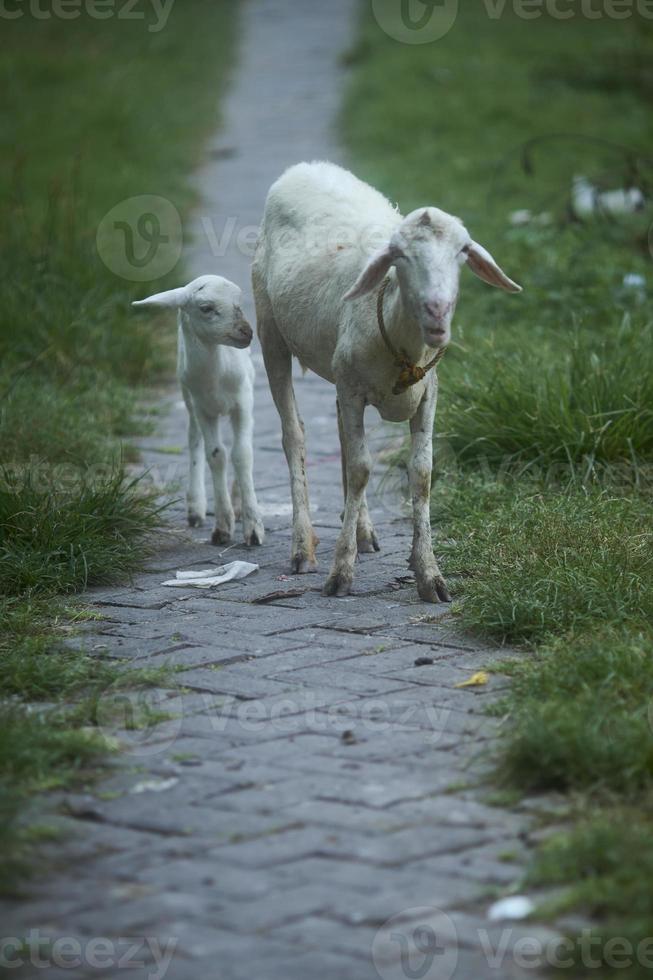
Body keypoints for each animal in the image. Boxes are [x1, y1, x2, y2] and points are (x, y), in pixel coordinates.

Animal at [132, 276, 264, 548]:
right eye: (206, 308)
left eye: (239, 301)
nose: (246, 332)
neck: (214, 375)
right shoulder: (203, 409)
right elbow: (216, 455)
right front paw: (223, 527)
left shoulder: (242, 402)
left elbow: (242, 454)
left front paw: (253, 527)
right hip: (187, 397)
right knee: (194, 439)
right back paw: (196, 507)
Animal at [252, 160, 524, 600]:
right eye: (399, 256)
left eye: (462, 251)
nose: (437, 312)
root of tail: (305, 167)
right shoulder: (352, 389)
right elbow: (362, 468)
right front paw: (340, 573)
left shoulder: (428, 392)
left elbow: (422, 472)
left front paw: (428, 572)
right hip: (270, 329)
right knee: (294, 435)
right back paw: (302, 548)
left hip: (336, 371)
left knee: (342, 439)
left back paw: (362, 532)